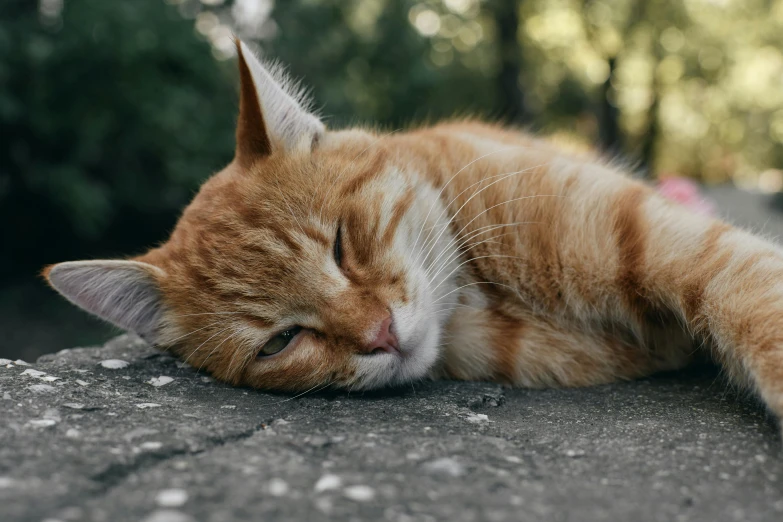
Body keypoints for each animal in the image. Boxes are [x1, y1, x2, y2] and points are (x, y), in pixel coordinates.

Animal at [47, 41, 783, 430]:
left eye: (341, 243)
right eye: (280, 341)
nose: (380, 334)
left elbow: (749, 291)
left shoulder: (669, 241)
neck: (484, 296)